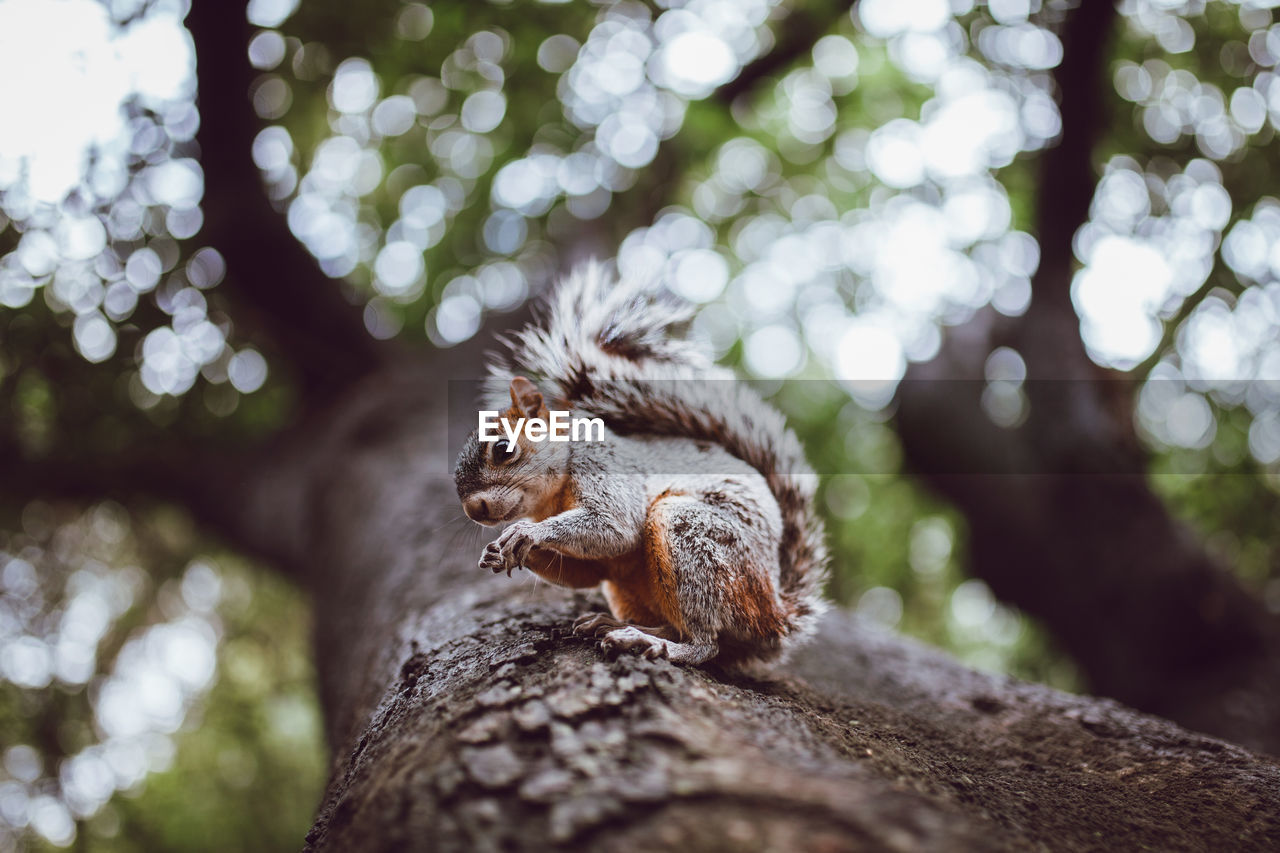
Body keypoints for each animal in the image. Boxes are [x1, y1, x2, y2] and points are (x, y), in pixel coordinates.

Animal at [455, 261, 824, 666]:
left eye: (503, 448)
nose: (474, 510)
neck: (553, 496)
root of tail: (772, 614)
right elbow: (587, 570)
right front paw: (497, 551)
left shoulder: (603, 464)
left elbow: (616, 527)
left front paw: (524, 533)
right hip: (630, 587)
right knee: (679, 627)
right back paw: (620, 625)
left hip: (692, 535)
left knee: (705, 643)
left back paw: (652, 643)